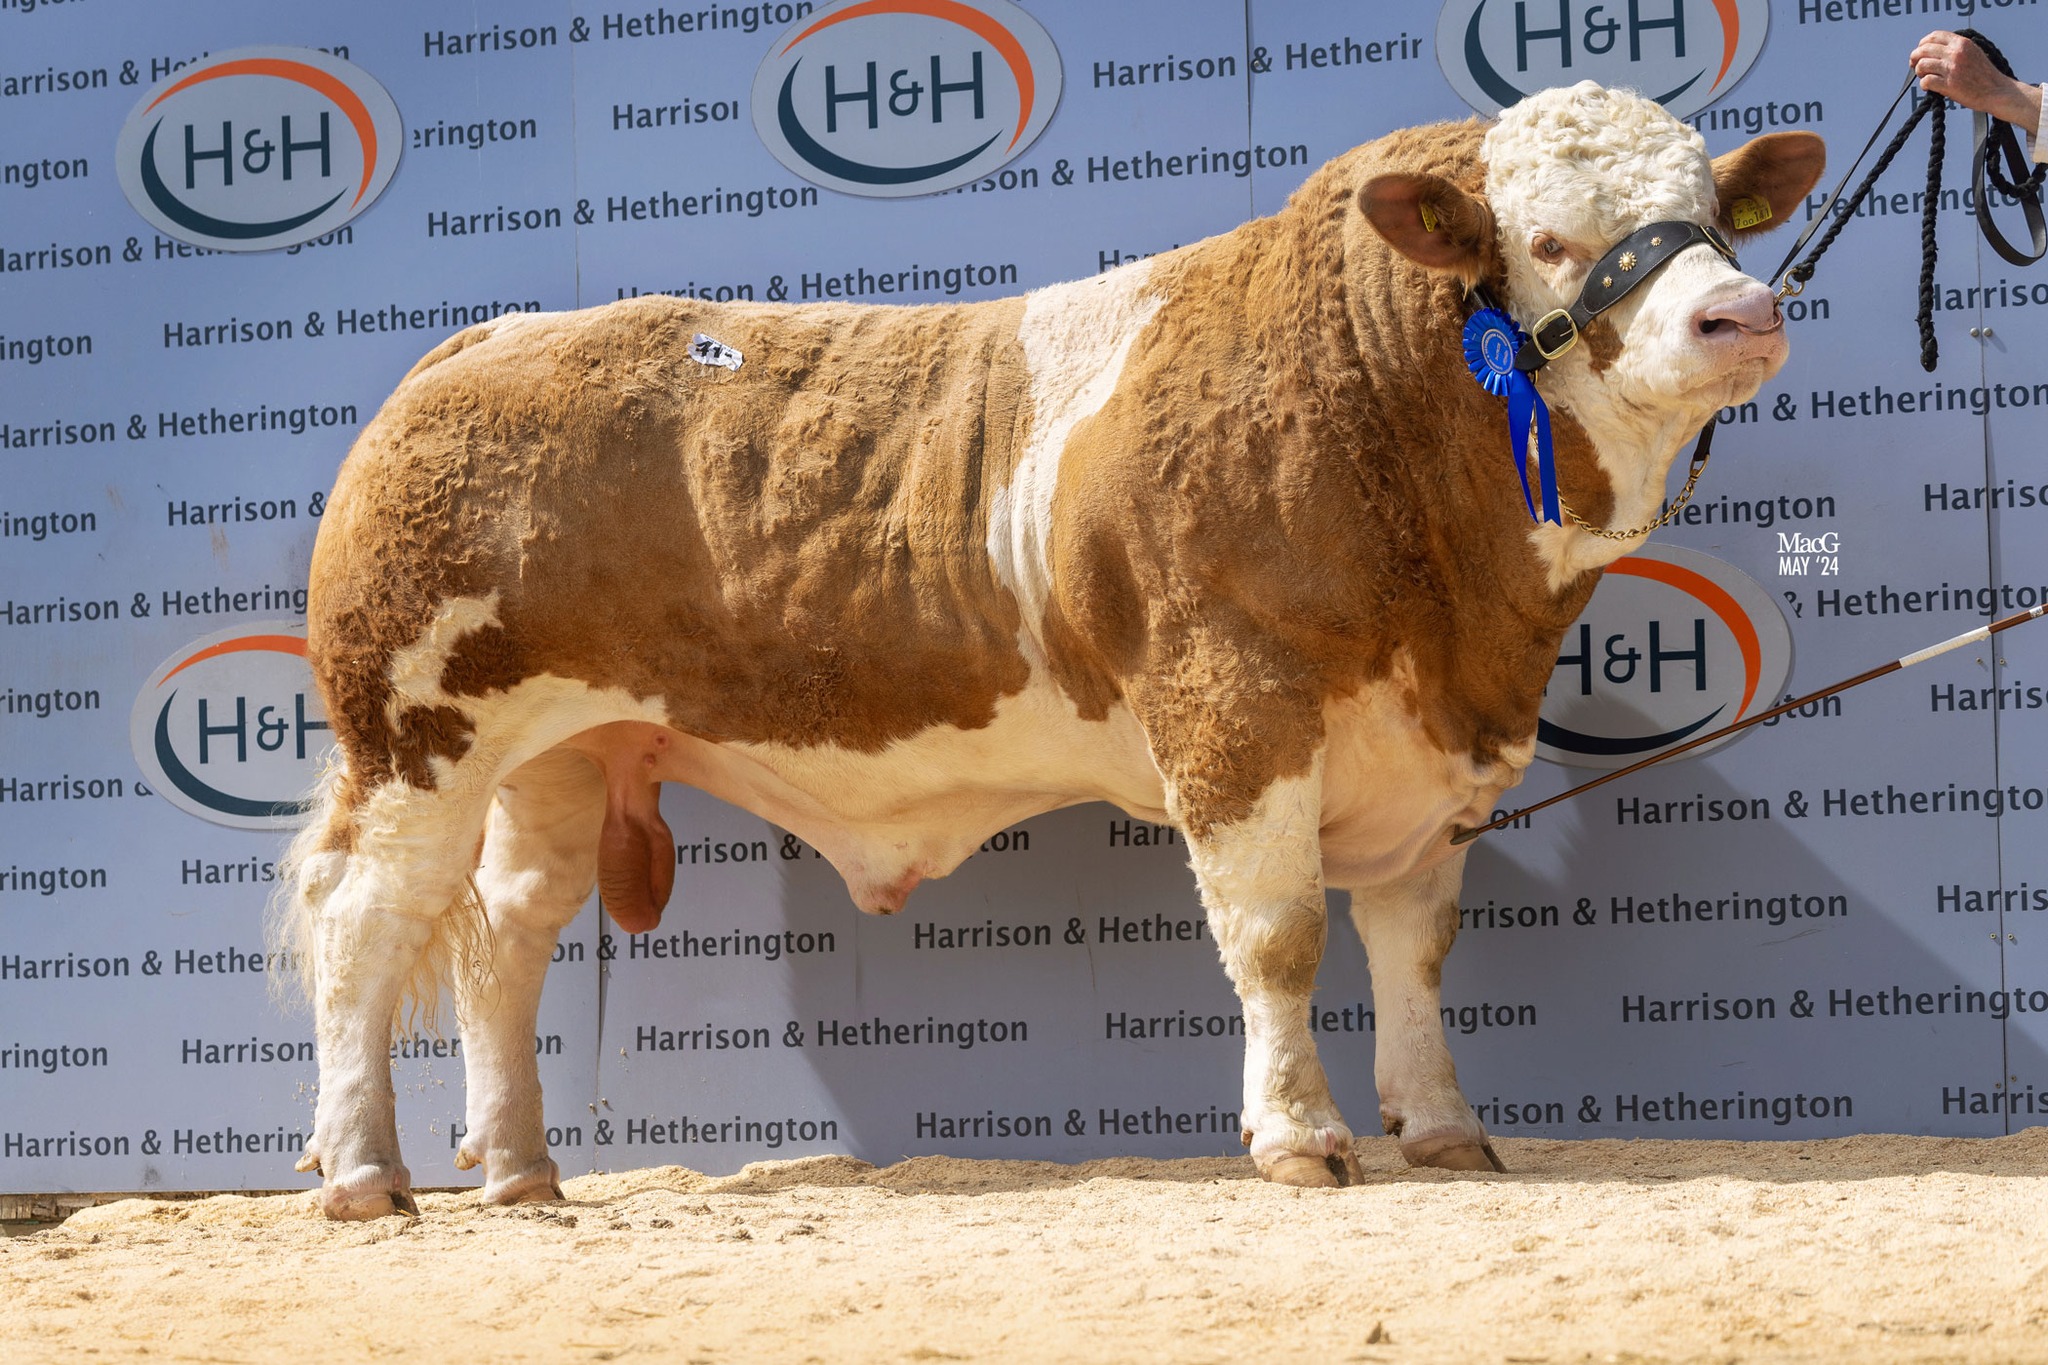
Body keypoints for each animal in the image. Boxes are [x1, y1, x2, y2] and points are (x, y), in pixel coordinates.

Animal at [277, 82, 1825, 1218]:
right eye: (1550, 239)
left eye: (1710, 216)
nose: (1739, 313)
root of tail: (486, 340)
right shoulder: (1232, 700)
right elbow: (1279, 933)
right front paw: (1300, 1136)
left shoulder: (1433, 746)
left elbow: (1414, 944)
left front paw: (1443, 1129)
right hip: (415, 734)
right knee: (364, 924)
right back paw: (364, 1174)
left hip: (556, 749)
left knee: (506, 938)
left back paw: (522, 1171)